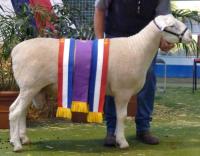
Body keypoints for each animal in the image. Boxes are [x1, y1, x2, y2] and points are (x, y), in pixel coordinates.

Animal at [8, 14, 191, 151]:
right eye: (173, 26)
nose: (190, 36)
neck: (138, 48)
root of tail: (15, 50)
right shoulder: (123, 91)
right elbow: (122, 116)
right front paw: (122, 142)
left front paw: (117, 139)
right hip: (29, 86)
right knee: (15, 111)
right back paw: (16, 144)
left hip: (30, 88)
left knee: (19, 111)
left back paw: (22, 139)